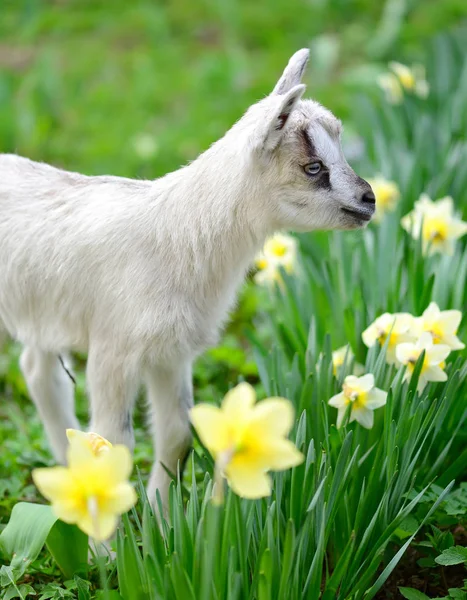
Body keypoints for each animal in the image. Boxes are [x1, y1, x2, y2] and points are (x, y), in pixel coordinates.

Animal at [0, 49, 374, 506]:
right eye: (313, 167)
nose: (369, 199)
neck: (176, 232)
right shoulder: (114, 350)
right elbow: (112, 444)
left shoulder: (171, 351)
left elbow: (178, 437)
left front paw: (160, 516)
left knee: (38, 371)